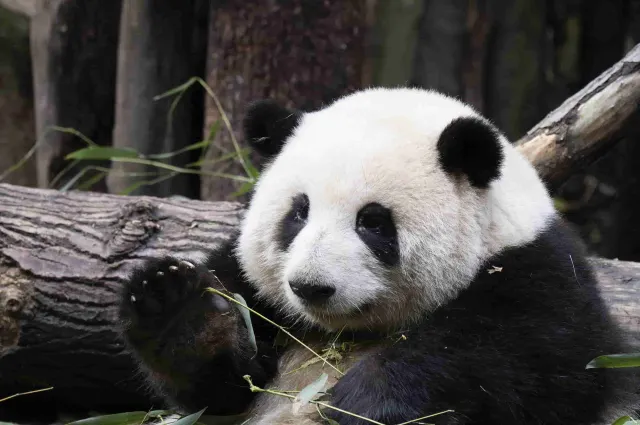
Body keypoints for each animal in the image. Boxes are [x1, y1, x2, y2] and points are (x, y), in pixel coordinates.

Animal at [117, 87, 636, 424]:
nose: (309, 287)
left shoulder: (538, 274)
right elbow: (217, 390)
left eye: (372, 222)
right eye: (298, 212)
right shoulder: (251, 285)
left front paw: (363, 402)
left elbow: (525, 358)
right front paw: (180, 314)